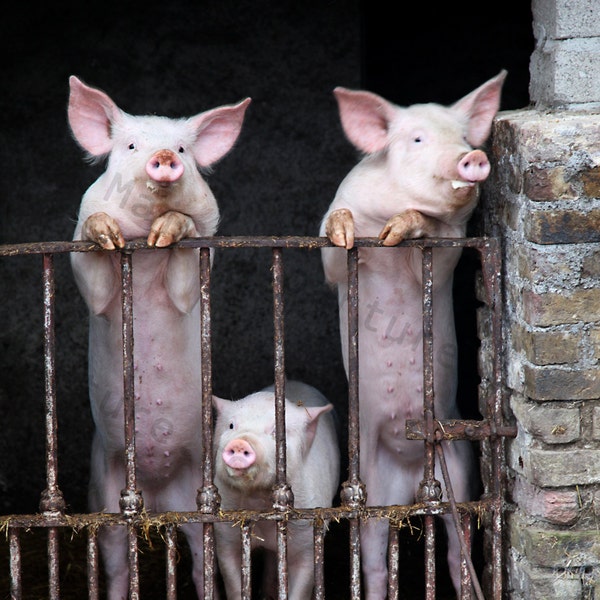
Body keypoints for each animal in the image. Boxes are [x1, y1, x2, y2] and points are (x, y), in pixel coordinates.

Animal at [68, 76, 251, 600]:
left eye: (184, 149)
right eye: (130, 146)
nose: (166, 156)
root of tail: (153, 495)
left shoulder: (202, 256)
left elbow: (185, 277)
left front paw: (168, 229)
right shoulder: (88, 273)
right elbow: (93, 279)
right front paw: (106, 232)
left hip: (204, 501)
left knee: (206, 562)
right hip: (107, 496)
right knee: (115, 561)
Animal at [213, 382, 340, 596]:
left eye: (277, 432)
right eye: (231, 425)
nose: (240, 442)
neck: (258, 502)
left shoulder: (308, 535)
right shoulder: (224, 533)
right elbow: (233, 582)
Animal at [318, 72, 506, 596]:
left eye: (462, 136)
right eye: (417, 139)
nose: (472, 156)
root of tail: (407, 484)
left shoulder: (452, 246)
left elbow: (431, 242)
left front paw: (401, 228)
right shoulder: (333, 259)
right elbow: (333, 251)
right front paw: (348, 232)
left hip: (457, 469)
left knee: (458, 550)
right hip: (367, 490)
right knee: (374, 556)